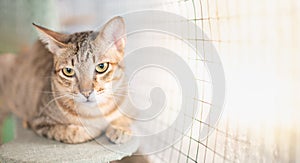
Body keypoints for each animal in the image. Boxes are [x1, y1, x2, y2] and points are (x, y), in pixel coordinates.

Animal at [0, 16, 132, 144]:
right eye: (68, 71)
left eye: (101, 66)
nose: (86, 93)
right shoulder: (40, 122)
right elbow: (73, 133)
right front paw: (94, 130)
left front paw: (121, 127)